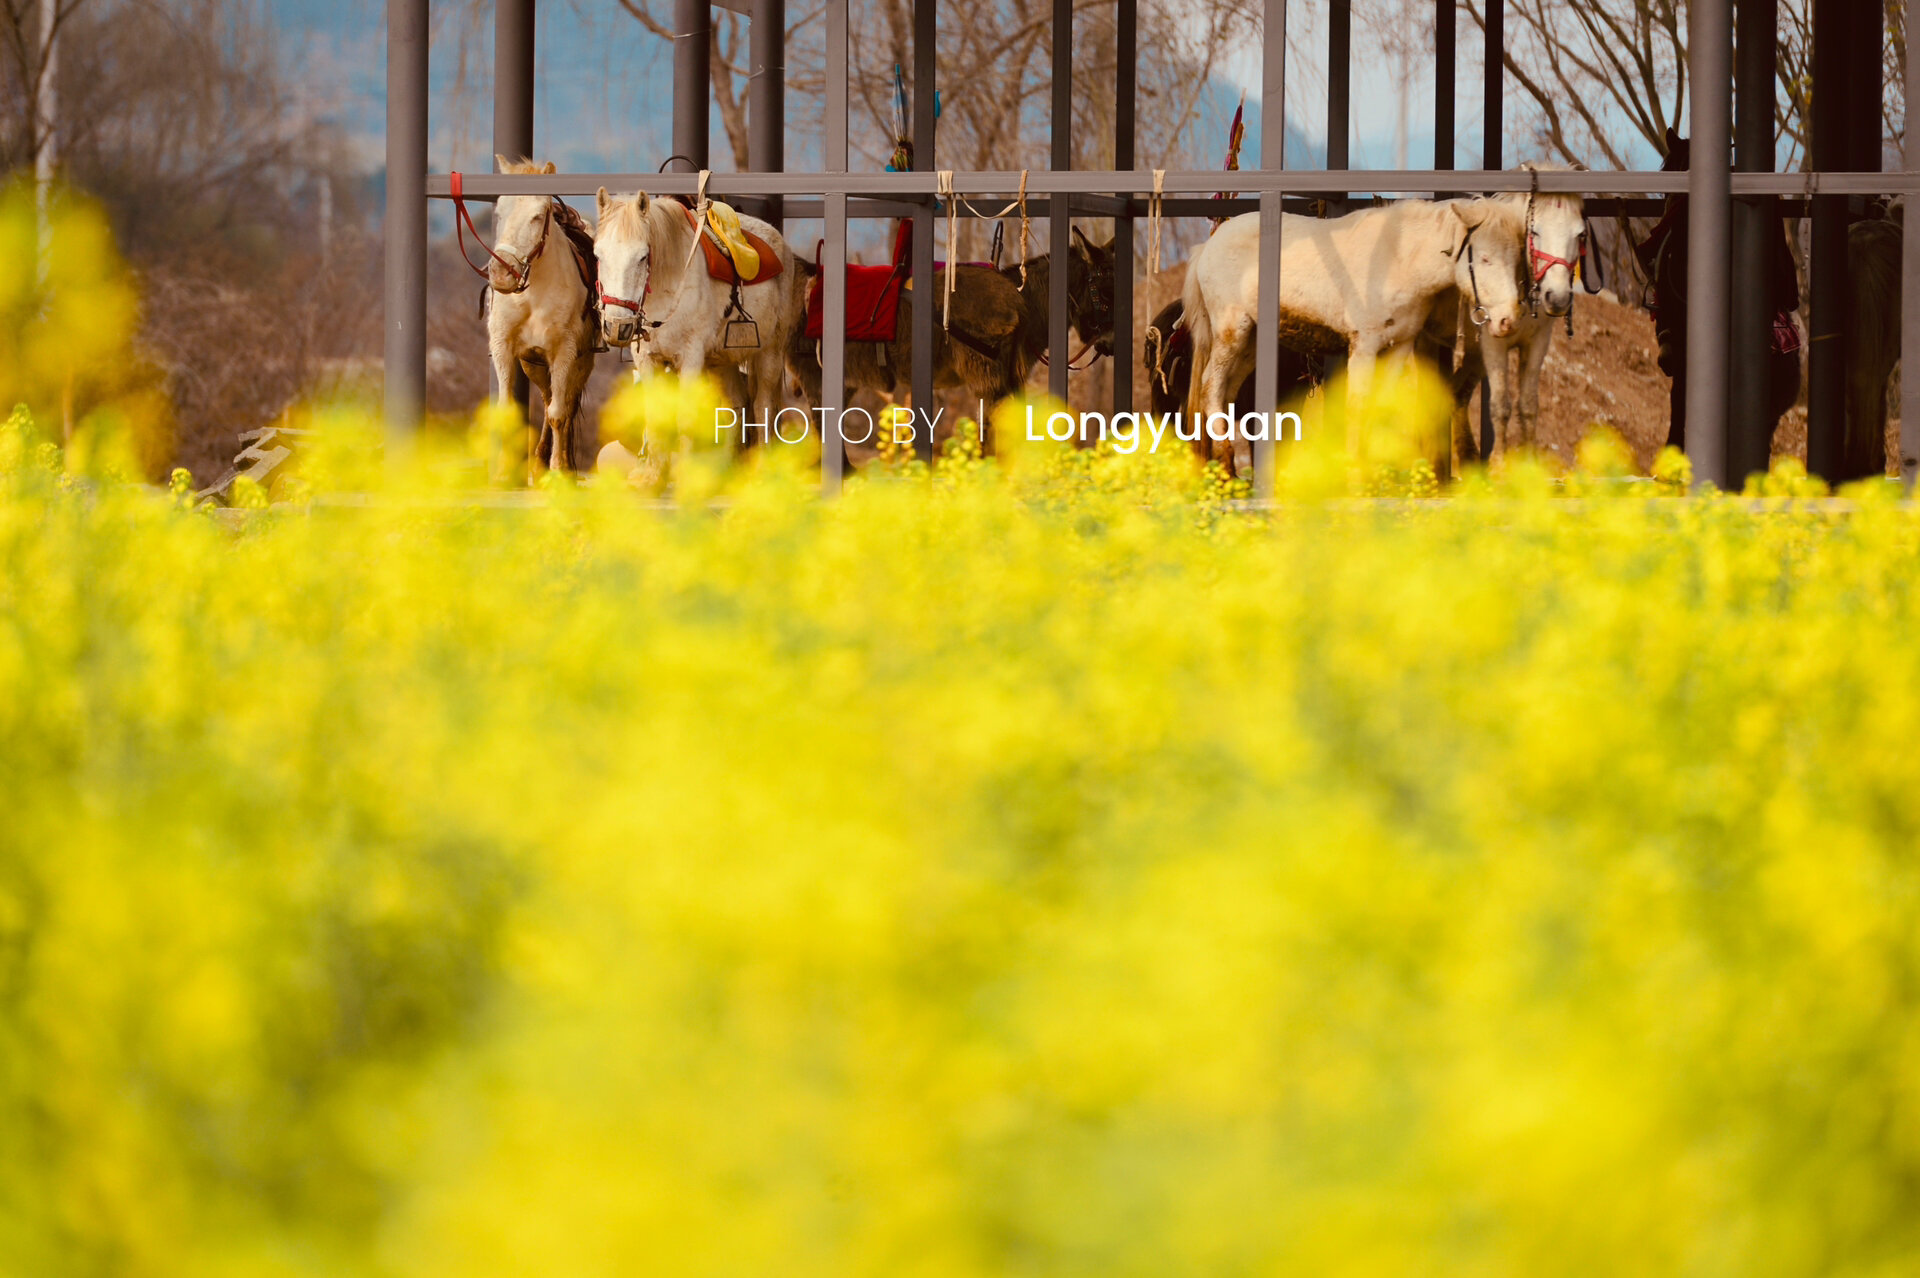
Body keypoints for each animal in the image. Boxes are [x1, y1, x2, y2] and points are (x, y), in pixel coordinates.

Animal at [483, 158, 595, 472]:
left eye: (537, 216)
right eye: (499, 212)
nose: (502, 274)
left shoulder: (564, 352)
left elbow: (559, 414)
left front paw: (558, 470)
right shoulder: (504, 348)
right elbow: (508, 411)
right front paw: (502, 473)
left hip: (581, 363)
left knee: (565, 406)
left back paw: (564, 465)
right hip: (534, 364)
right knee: (547, 401)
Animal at [583, 183, 794, 433]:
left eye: (643, 257)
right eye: (598, 255)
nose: (617, 326)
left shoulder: (690, 359)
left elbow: (685, 421)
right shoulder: (648, 361)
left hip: (770, 353)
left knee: (763, 408)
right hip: (723, 362)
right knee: (734, 406)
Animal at [1175, 201, 1520, 470]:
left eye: (1515, 258)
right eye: (1485, 258)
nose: (1508, 319)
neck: (1398, 257)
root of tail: (1208, 246)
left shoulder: (1398, 346)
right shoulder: (1364, 345)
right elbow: (1358, 403)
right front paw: (1354, 469)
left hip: (1251, 342)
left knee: (1226, 392)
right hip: (1233, 333)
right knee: (1211, 386)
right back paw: (1225, 462)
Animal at [1451, 158, 1589, 458]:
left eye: (1580, 233)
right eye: (1535, 231)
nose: (1557, 298)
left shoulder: (1537, 342)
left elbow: (1527, 404)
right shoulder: (1493, 343)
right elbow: (1500, 405)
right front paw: (1499, 462)